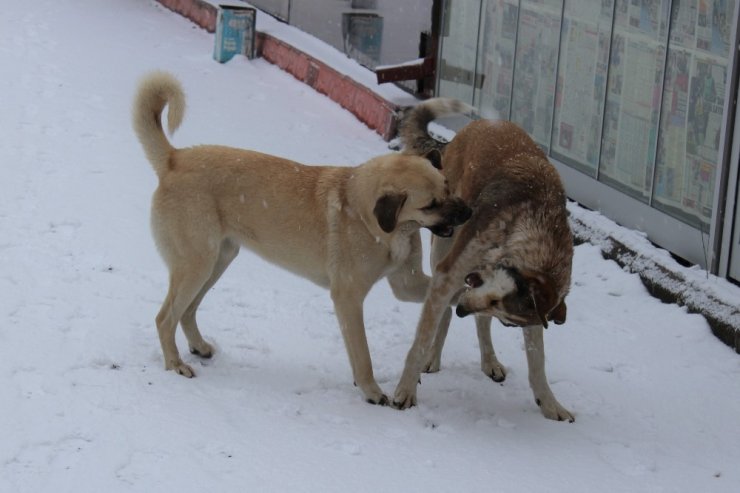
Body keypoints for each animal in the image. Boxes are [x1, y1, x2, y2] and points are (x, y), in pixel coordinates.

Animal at [132, 73, 474, 404]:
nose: (469, 212)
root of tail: (174, 159)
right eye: (431, 205)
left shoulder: (408, 283)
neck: (375, 221)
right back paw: (175, 364)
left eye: (448, 186)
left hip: (218, 260)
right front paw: (372, 391)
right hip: (197, 264)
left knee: (187, 311)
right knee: (164, 318)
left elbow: (450, 293)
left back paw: (199, 347)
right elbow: (362, 355)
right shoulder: (348, 298)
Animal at [390, 98, 576, 420]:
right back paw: (433, 357)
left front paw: (550, 404)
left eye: (509, 322)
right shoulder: (449, 275)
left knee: (477, 323)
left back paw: (489, 360)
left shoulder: (528, 312)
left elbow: (537, 362)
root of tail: (480, 125)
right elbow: (421, 341)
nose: (464, 309)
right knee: (442, 312)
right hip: (443, 242)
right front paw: (405, 391)